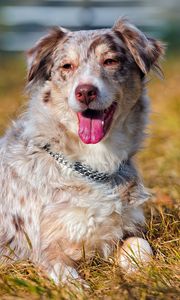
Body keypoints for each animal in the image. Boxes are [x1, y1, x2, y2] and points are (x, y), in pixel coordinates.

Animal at [0, 18, 164, 284]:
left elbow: (141, 246)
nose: (85, 91)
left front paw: (142, 274)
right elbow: (69, 278)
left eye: (110, 61)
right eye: (67, 66)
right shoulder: (43, 249)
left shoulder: (125, 227)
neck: (93, 163)